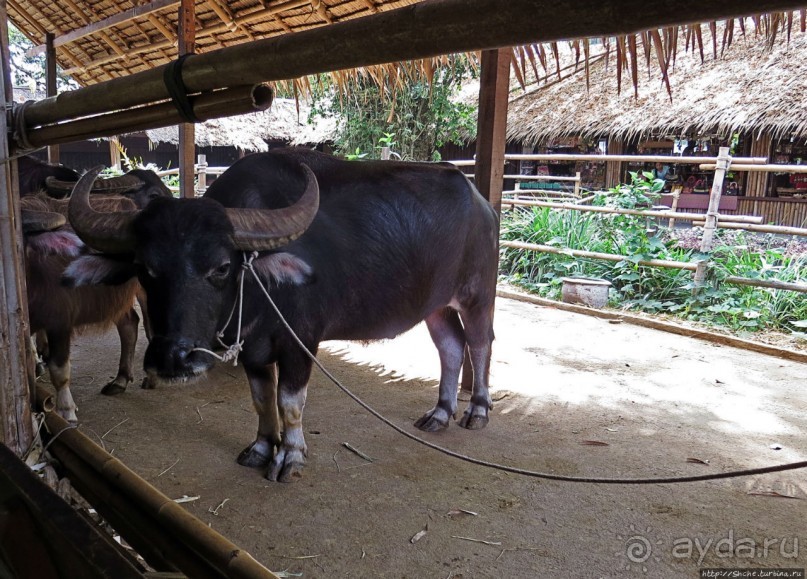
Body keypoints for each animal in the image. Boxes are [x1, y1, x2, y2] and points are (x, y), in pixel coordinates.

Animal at [66, 147, 502, 482]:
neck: (258, 293)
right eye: (145, 268)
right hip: (437, 305)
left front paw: (290, 455)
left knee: (480, 343)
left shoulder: (300, 343)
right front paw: (262, 448)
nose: (173, 357)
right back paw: (440, 413)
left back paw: (477, 409)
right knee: (450, 346)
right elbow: (262, 400)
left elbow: (290, 401)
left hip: (477, 295)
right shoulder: (253, 350)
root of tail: (483, 204)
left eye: (221, 267)